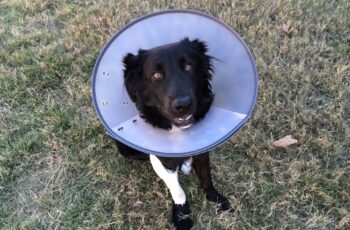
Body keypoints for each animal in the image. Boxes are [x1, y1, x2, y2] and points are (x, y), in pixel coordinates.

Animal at [114, 38, 230, 230]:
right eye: (156, 75)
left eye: (188, 66)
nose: (183, 105)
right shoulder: (164, 159)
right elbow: (177, 189)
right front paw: (182, 216)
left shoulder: (203, 147)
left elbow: (207, 177)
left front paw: (215, 198)